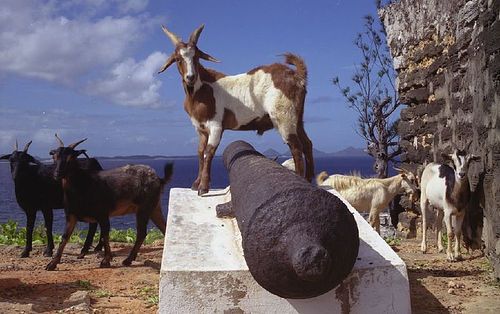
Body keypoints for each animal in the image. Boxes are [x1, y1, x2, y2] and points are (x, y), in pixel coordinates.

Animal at [45, 136, 174, 272]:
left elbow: (105, 235)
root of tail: (159, 179)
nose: (57, 173)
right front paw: (52, 264)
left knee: (141, 233)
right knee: (164, 227)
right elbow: (64, 237)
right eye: (54, 157)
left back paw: (128, 260)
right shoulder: (71, 215)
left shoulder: (102, 213)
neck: (84, 185)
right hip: (154, 208)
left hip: (144, 207)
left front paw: (106, 260)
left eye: (71, 158)